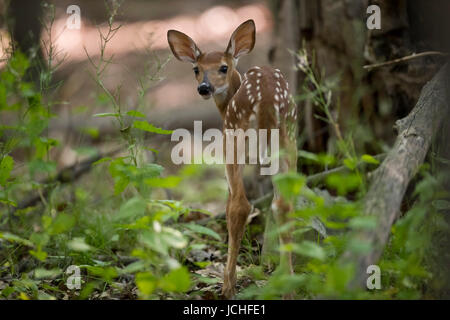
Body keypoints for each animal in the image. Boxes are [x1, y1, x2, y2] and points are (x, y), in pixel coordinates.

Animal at [167, 19, 298, 300]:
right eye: (196, 69)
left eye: (223, 67)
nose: (204, 88)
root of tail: (267, 100)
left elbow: (231, 203)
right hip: (289, 137)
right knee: (284, 204)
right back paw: (287, 283)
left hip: (235, 140)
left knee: (239, 205)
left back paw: (228, 286)